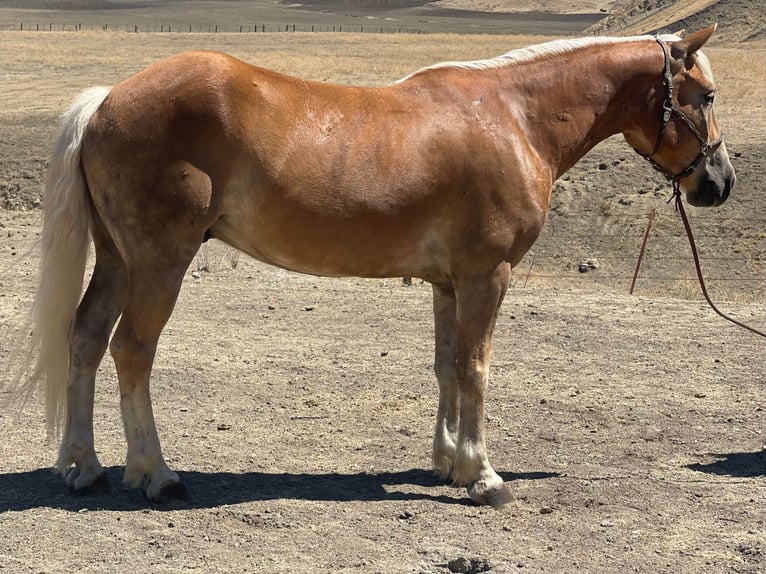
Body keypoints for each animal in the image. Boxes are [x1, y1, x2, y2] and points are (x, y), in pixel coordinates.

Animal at [19, 24, 736, 506]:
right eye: (703, 94)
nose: (720, 183)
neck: (515, 119)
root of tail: (109, 99)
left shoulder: (449, 282)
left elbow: (448, 367)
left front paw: (448, 462)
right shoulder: (487, 276)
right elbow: (476, 368)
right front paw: (484, 477)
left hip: (118, 260)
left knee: (86, 340)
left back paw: (83, 465)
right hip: (158, 263)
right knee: (131, 351)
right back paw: (157, 474)